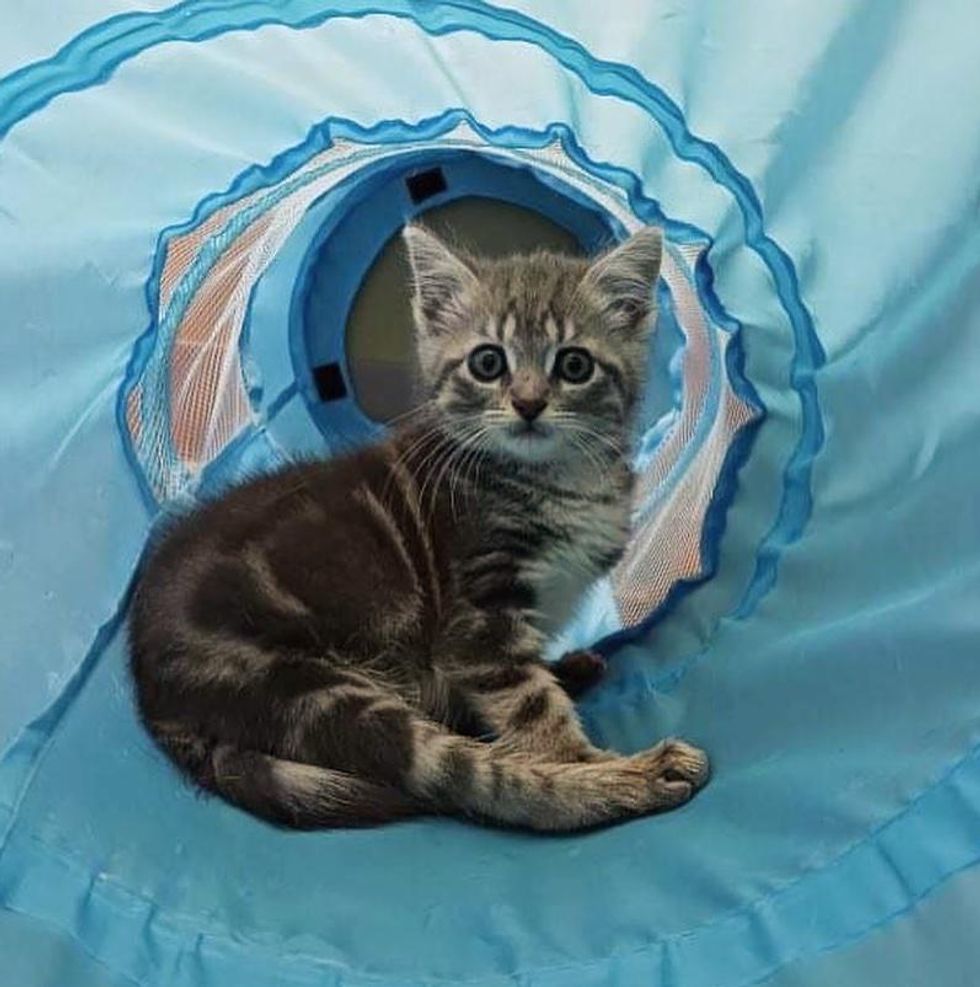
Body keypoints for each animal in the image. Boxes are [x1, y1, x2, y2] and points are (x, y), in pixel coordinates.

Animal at [132, 220, 712, 828]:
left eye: (574, 365)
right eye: (488, 363)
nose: (529, 403)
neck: (558, 477)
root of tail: (152, 696)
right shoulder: (478, 626)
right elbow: (532, 712)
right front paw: (577, 755)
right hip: (311, 689)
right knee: (477, 780)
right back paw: (630, 778)